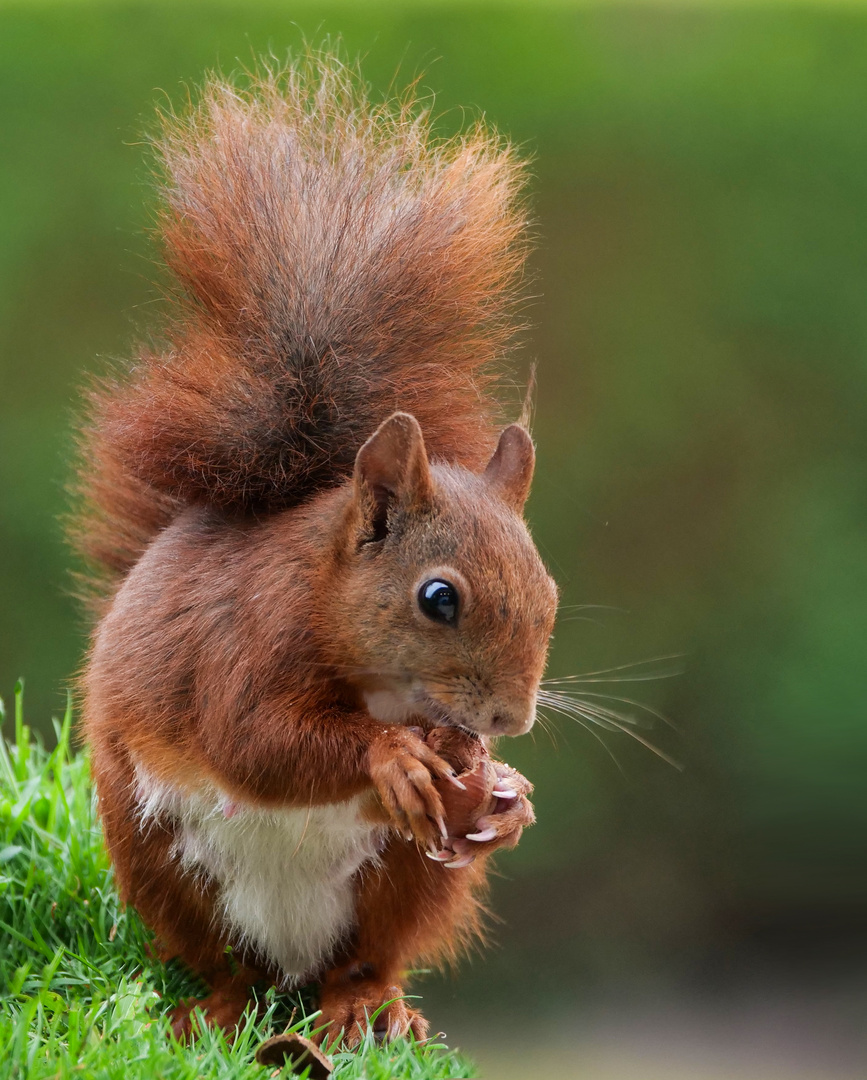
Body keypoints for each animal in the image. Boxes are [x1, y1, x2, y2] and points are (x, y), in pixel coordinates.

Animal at [66, 52, 557, 1045]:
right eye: (438, 597)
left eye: (550, 592)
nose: (510, 720)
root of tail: (287, 968)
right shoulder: (240, 645)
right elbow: (256, 741)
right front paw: (391, 758)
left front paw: (511, 795)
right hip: (160, 860)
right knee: (216, 962)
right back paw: (215, 1010)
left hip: (402, 881)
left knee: (365, 960)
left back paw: (368, 1006)